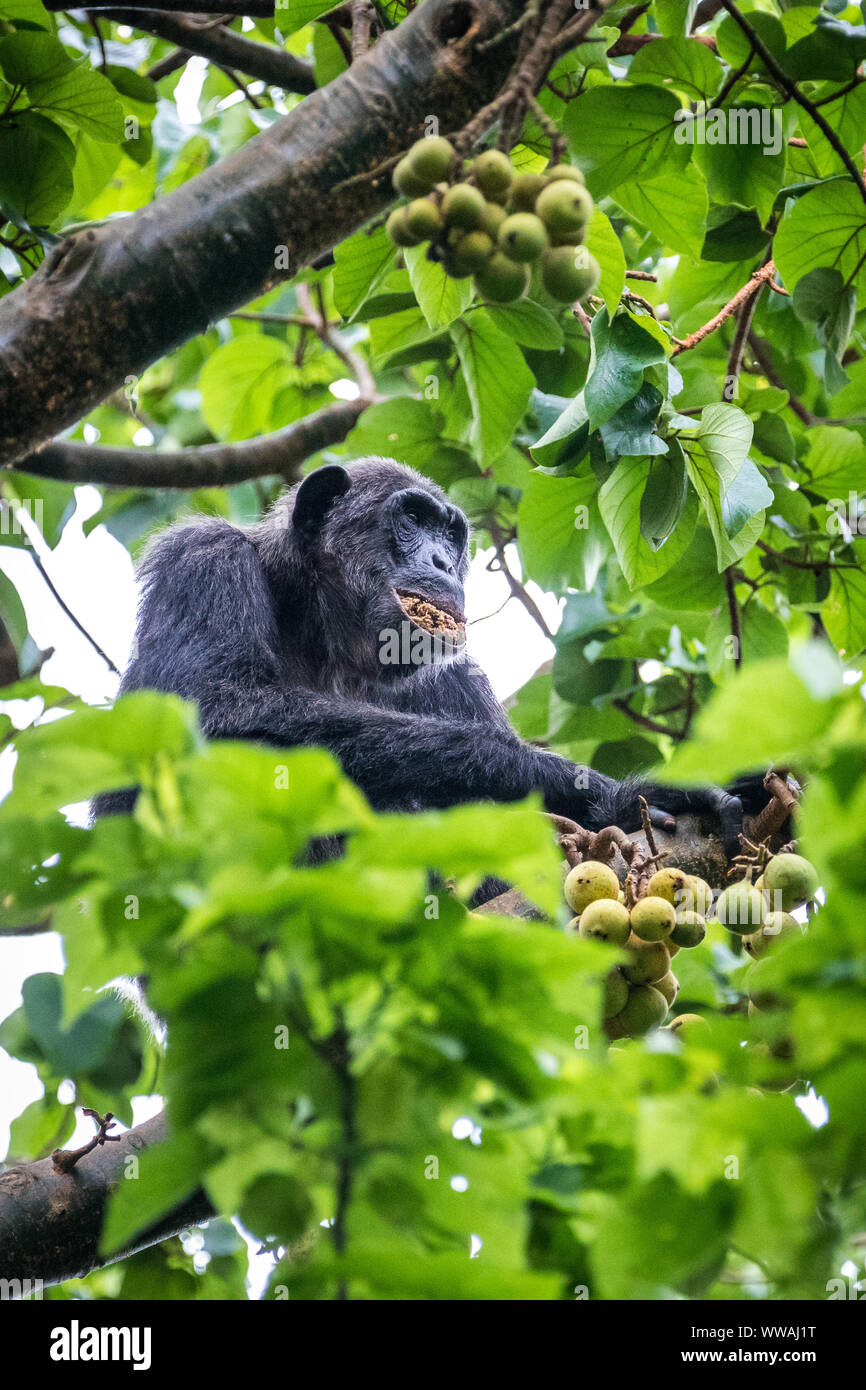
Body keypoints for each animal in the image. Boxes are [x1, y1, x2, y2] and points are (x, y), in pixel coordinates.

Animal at [101, 455, 767, 845]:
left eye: (451, 533)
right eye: (413, 520)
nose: (444, 561)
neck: (327, 634)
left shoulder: (461, 679)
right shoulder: (202, 563)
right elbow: (212, 712)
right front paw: (604, 792)